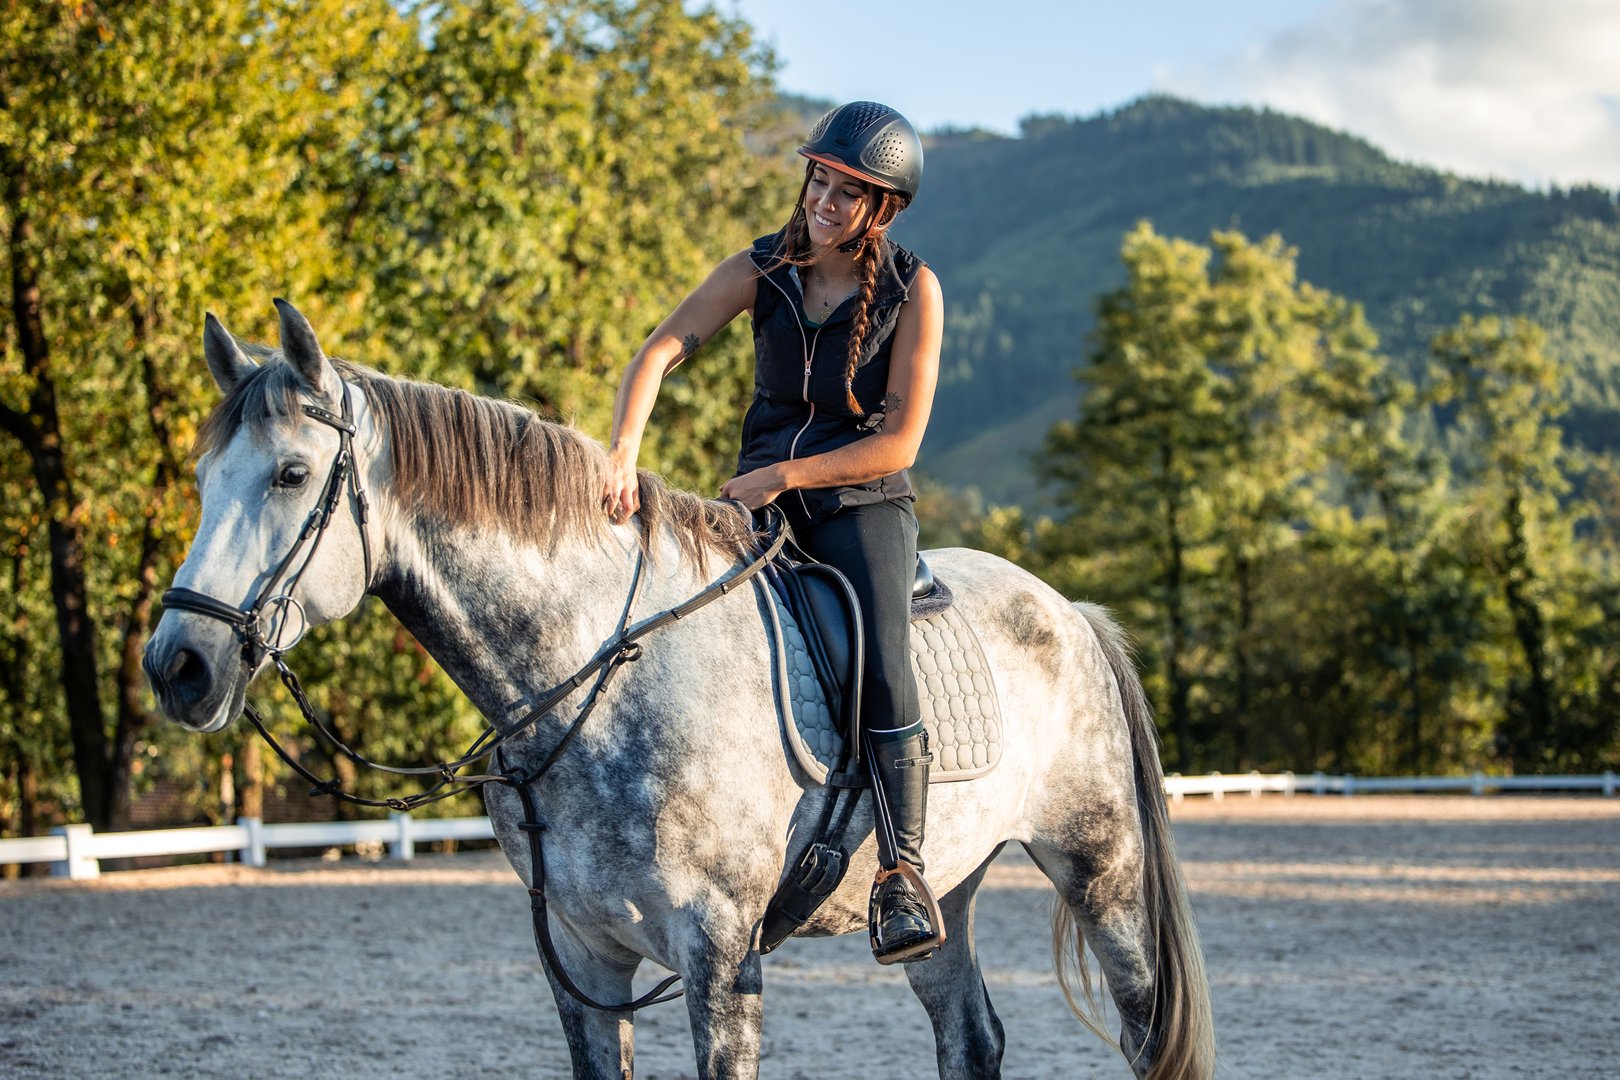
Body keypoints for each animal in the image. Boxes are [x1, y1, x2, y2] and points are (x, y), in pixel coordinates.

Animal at [142, 301, 1215, 1080]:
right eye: (202, 479)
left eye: (291, 474)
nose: (177, 666)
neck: (597, 678)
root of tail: (1070, 609)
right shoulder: (582, 959)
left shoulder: (720, 961)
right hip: (943, 884)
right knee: (970, 1036)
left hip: (1101, 872)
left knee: (1139, 1032)